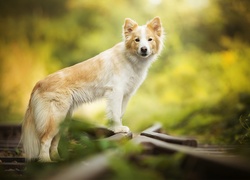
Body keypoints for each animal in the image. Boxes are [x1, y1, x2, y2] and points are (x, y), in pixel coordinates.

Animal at [21, 16, 165, 161]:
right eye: (137, 40)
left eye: (150, 39)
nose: (144, 49)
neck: (130, 58)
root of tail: (38, 84)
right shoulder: (115, 92)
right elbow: (116, 113)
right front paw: (118, 129)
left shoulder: (126, 95)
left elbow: (120, 113)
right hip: (55, 118)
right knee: (45, 140)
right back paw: (46, 161)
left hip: (64, 119)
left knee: (54, 142)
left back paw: (57, 159)